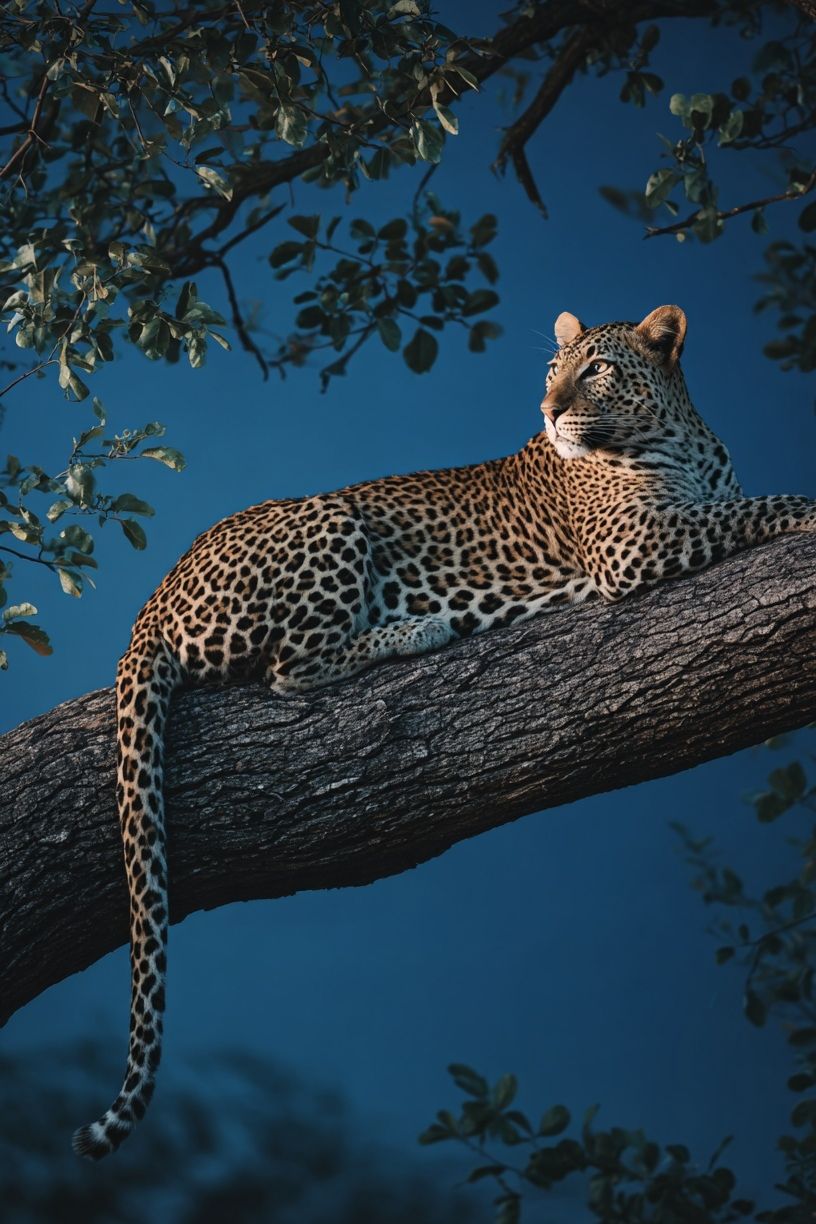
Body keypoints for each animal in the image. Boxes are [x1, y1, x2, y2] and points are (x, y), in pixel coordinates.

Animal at [72, 304, 816, 1159]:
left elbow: (740, 503)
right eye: (553, 371)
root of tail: (154, 601)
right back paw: (420, 630)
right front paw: (811, 511)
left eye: (596, 369)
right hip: (329, 519)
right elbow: (752, 508)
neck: (679, 437)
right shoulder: (635, 548)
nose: (549, 411)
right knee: (290, 668)